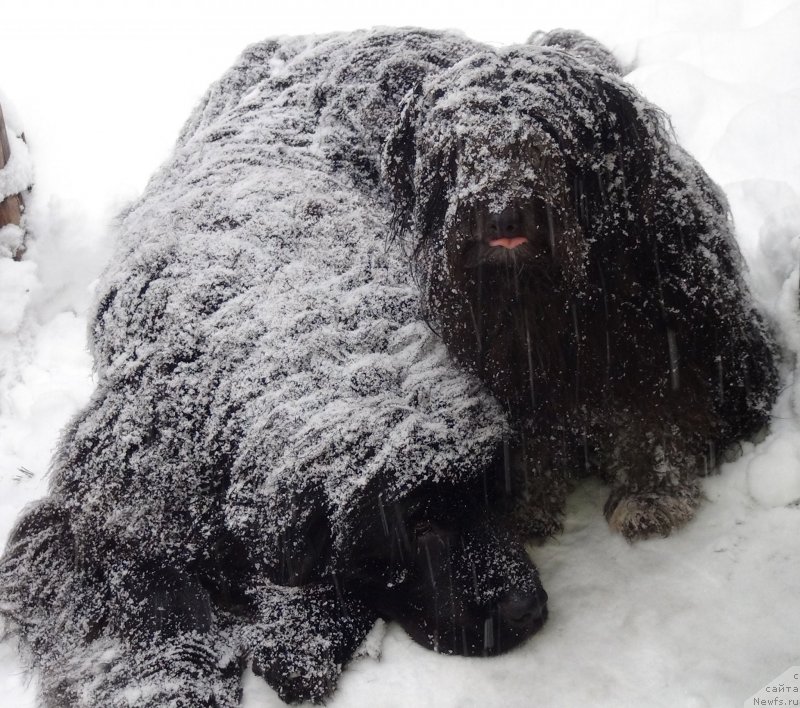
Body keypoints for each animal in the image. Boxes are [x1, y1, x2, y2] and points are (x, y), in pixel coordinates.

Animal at [0, 24, 776, 708]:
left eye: (493, 497)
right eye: (418, 528)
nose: (525, 611)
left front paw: (301, 634)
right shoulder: (95, 528)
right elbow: (151, 621)